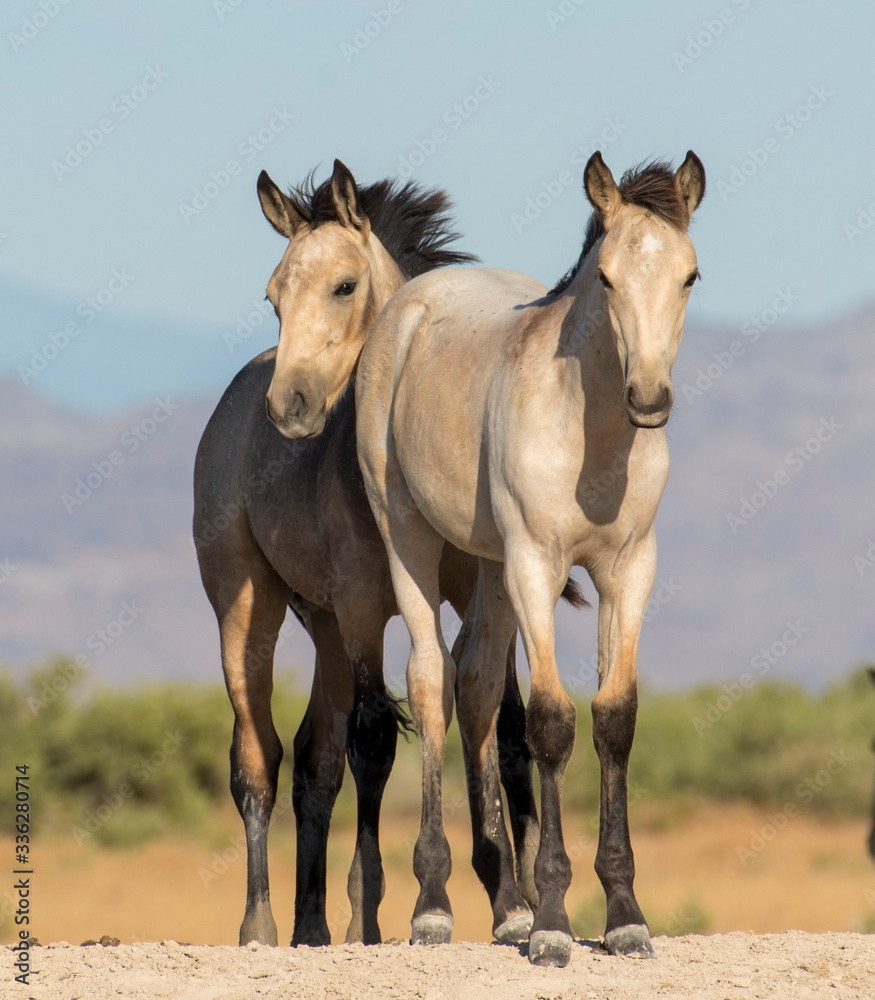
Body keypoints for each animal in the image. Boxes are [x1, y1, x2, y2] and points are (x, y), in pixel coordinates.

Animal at [194, 160, 584, 948]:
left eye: (344, 285)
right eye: (273, 294)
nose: (290, 407)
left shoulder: (478, 591)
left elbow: (505, 729)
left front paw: (516, 901)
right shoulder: (366, 604)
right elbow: (374, 740)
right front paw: (380, 911)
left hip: (323, 628)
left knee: (314, 762)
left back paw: (312, 925)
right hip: (249, 607)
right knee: (259, 759)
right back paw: (262, 924)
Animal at [355, 151, 705, 966]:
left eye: (689, 275)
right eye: (605, 276)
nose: (649, 396)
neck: (590, 432)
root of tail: (408, 304)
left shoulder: (628, 570)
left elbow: (613, 717)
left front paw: (623, 914)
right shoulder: (535, 566)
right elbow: (549, 722)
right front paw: (551, 923)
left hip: (489, 567)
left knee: (478, 680)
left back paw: (505, 907)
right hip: (409, 534)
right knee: (430, 679)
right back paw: (433, 904)